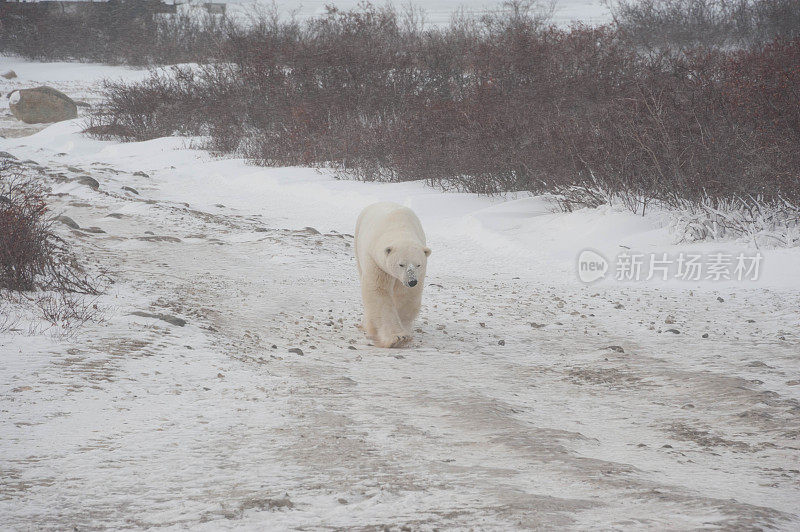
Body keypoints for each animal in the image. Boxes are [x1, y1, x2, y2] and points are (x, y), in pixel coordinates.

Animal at [356, 202, 432, 348]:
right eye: (401, 264)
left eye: (418, 265)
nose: (412, 281)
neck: (399, 227)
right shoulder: (376, 262)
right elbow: (379, 292)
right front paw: (397, 337)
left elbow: (406, 296)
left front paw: (404, 331)